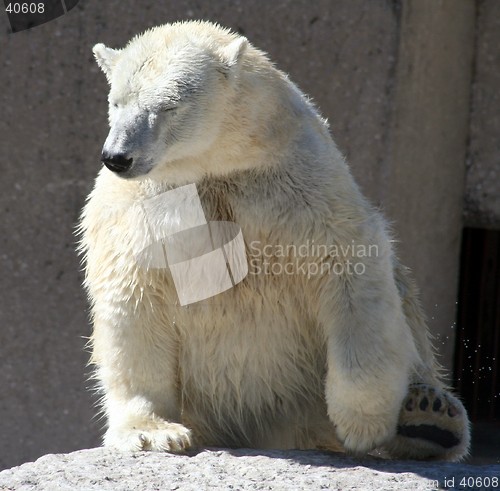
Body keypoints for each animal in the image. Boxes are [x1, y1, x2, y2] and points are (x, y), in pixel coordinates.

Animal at [80, 21, 470, 462]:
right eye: (116, 102)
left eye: (168, 107)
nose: (118, 156)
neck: (223, 165)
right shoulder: (141, 208)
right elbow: (134, 299)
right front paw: (152, 432)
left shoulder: (304, 187)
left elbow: (350, 271)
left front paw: (363, 422)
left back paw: (429, 416)